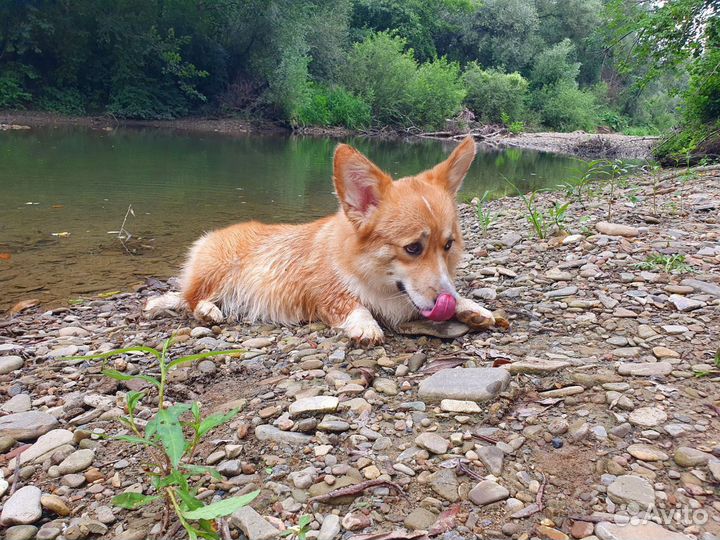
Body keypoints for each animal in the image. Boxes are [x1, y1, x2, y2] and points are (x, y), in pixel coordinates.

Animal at [144, 136, 498, 346]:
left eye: (448, 246)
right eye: (412, 248)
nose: (444, 301)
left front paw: (471, 307)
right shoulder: (323, 291)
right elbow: (350, 303)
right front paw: (364, 325)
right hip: (218, 271)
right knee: (191, 298)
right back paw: (208, 311)